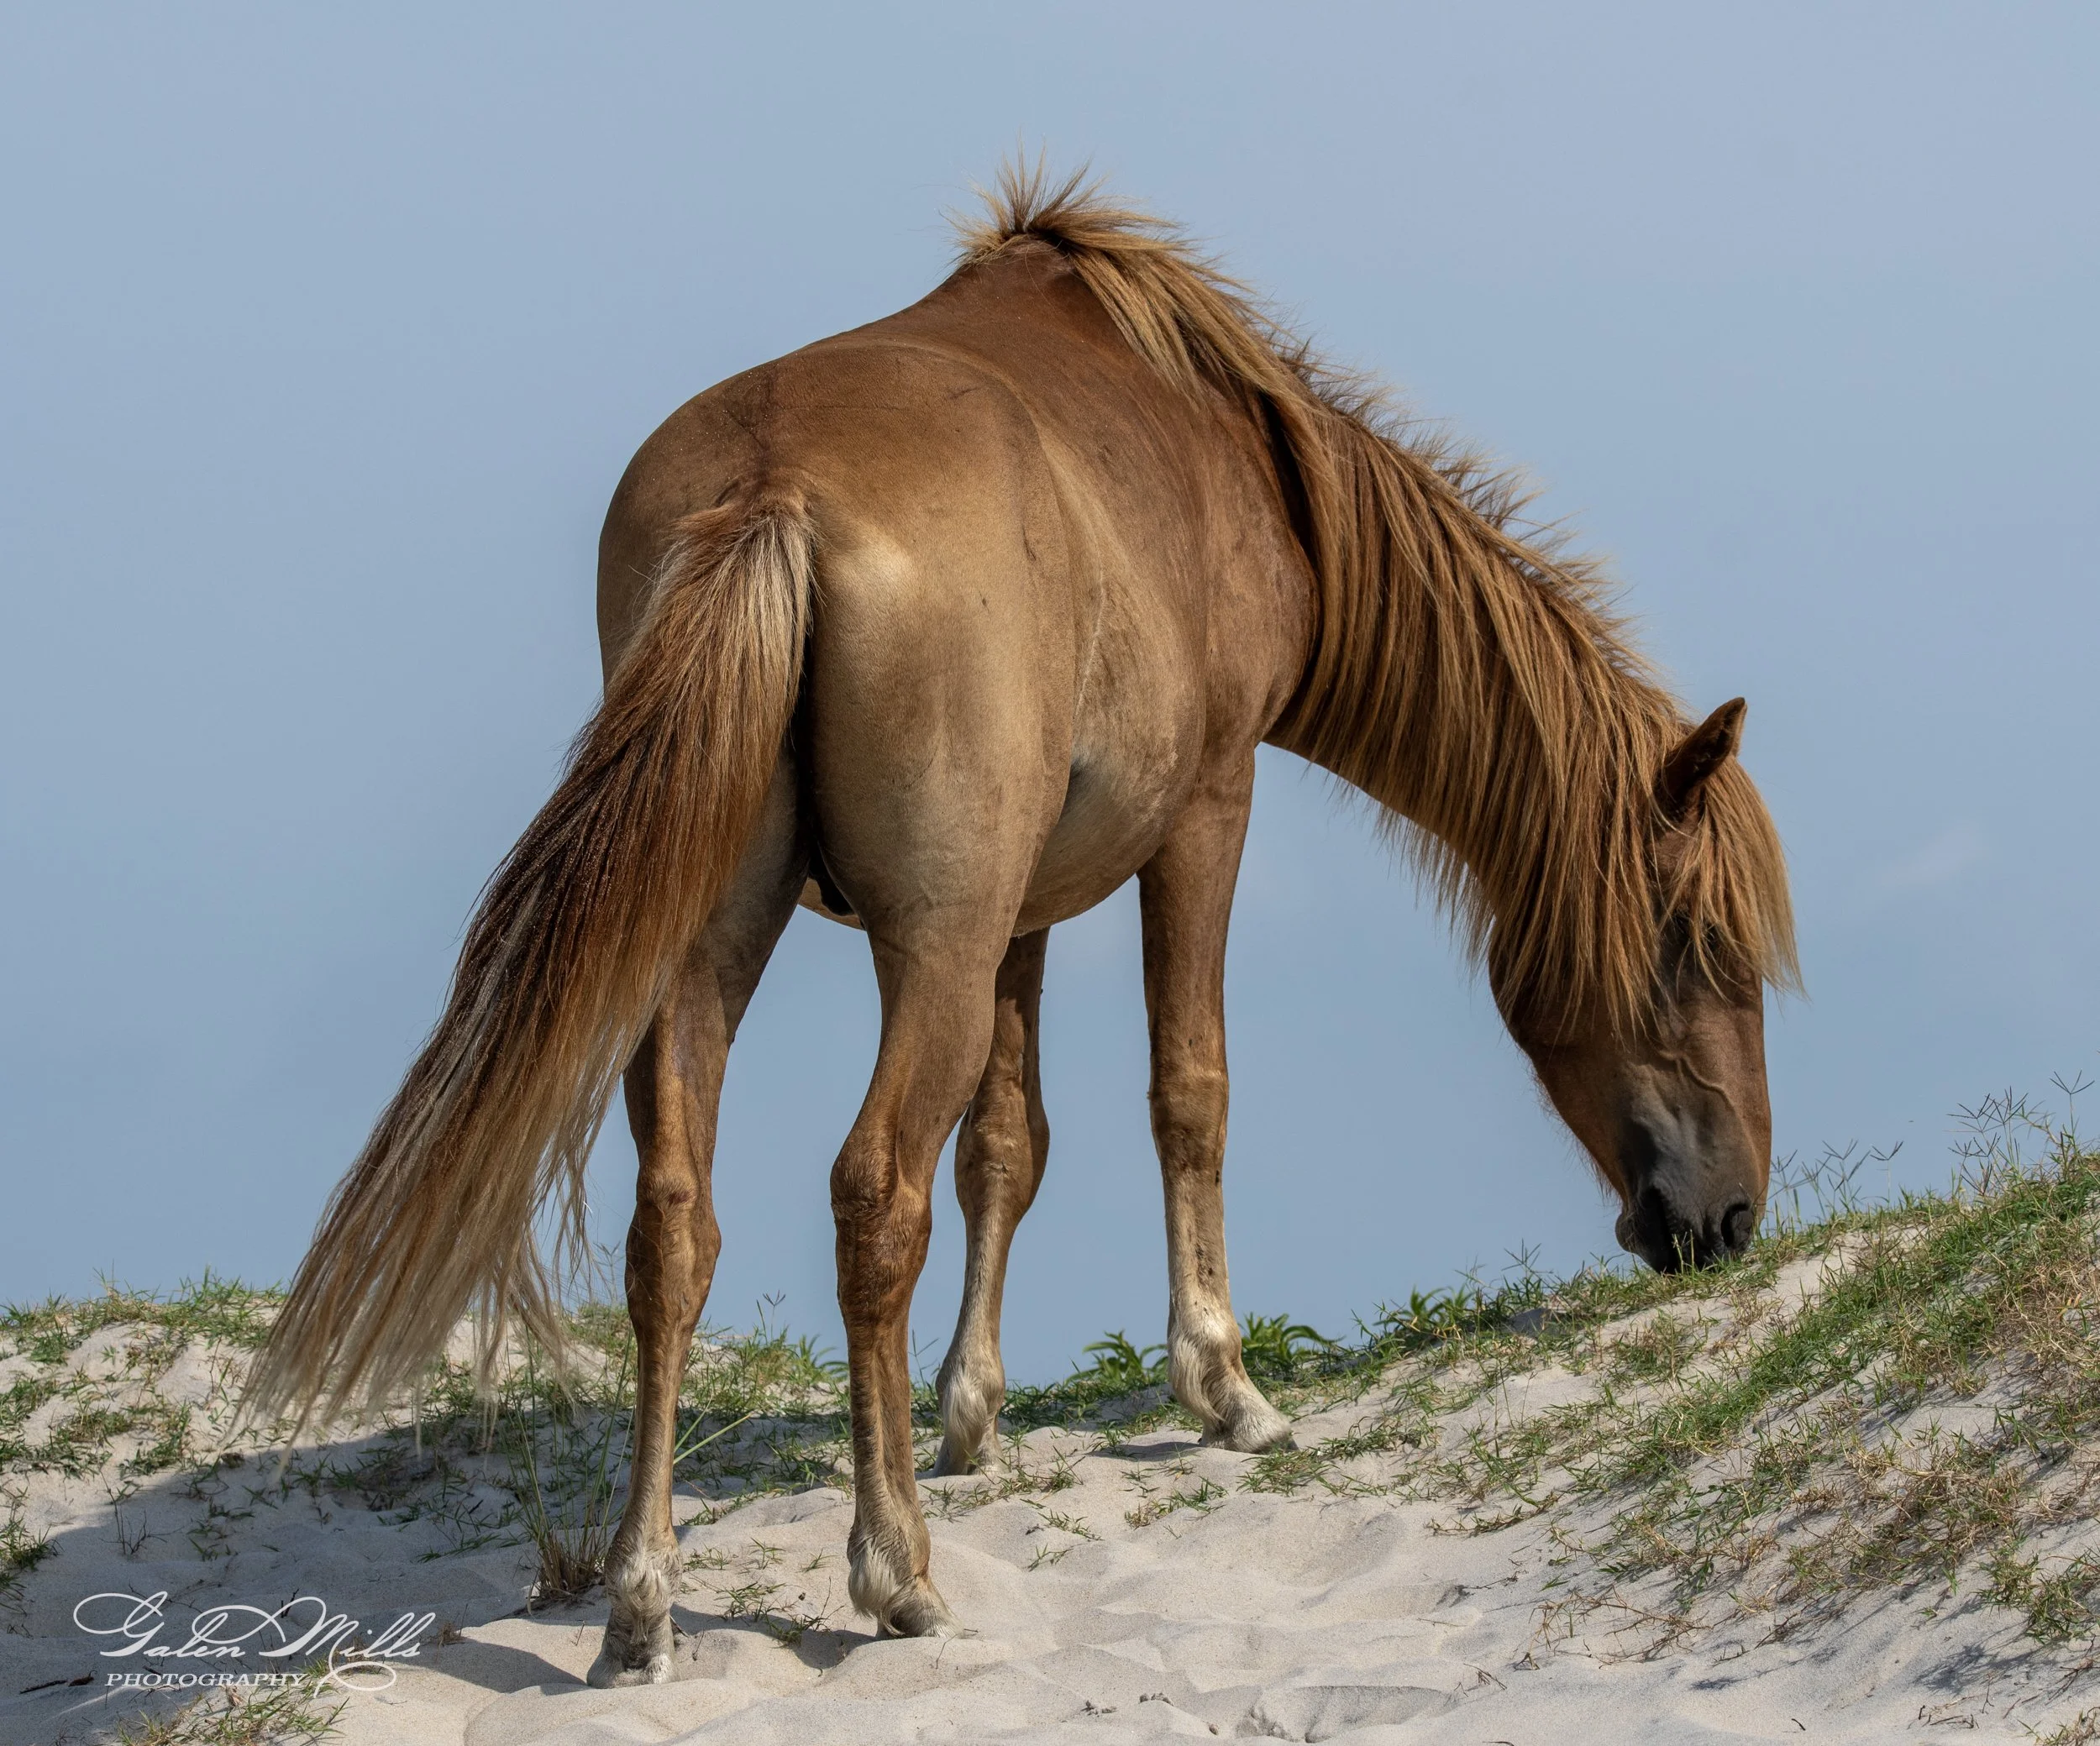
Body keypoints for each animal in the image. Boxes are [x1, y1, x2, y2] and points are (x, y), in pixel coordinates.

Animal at [246, 166, 1797, 1685]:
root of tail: (771, 494)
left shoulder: (1023, 907)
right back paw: (895, 1572)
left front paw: (971, 1410)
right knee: (874, 1193)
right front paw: (1225, 1383)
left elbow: (1007, 1143)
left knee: (673, 1230)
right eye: (1695, 944)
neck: (1244, 458)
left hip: (721, 948)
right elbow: (1187, 1090)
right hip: (927, 944)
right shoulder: (1203, 811)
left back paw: (643, 1601)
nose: (1726, 1214)